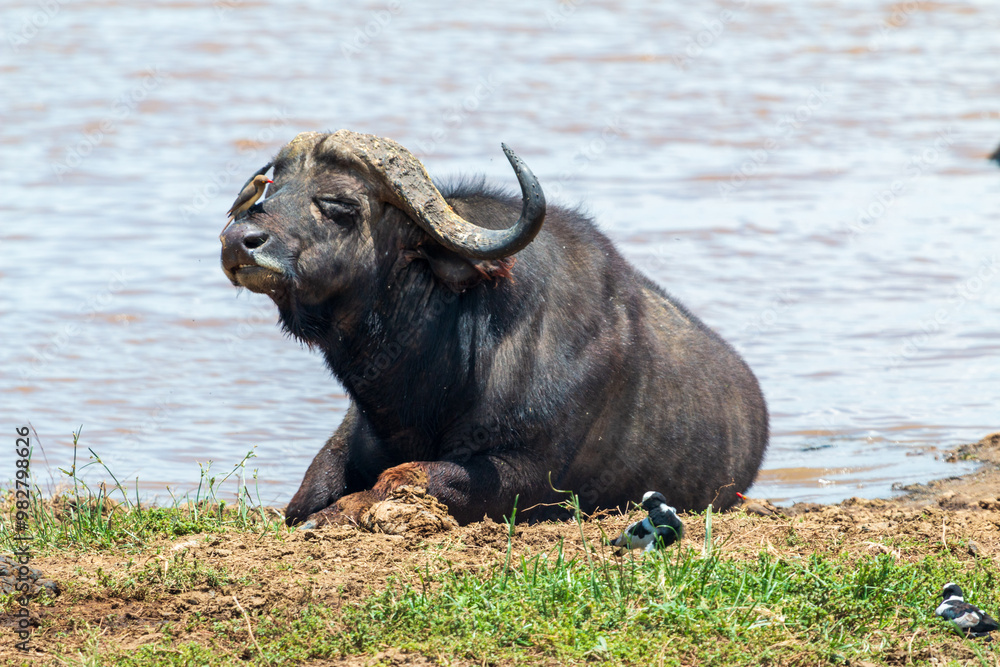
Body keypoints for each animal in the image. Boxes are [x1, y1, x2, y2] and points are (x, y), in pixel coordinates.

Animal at [220, 130, 768, 527]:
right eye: (273, 190)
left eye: (337, 204)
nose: (237, 240)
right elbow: (308, 491)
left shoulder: (528, 475)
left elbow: (407, 477)